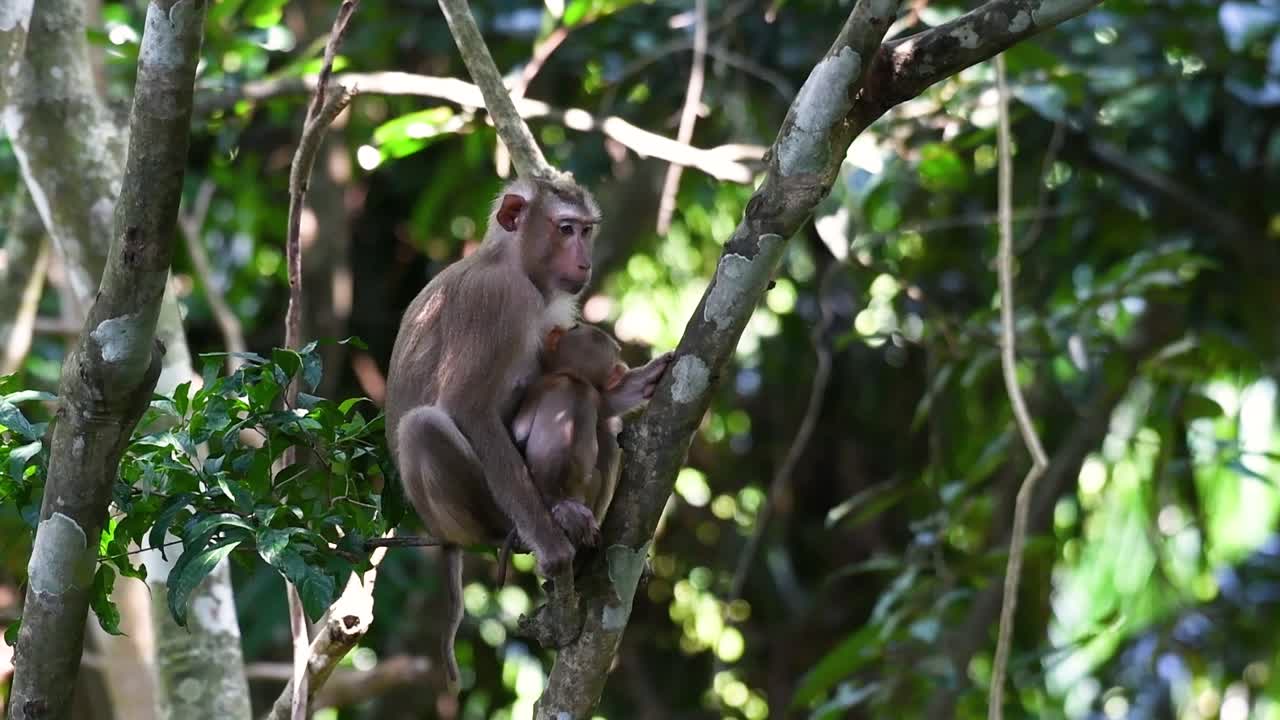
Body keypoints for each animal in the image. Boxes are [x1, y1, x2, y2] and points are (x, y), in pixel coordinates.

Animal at [383, 174, 673, 688]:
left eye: (586, 230)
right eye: (565, 228)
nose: (585, 260)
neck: (509, 261)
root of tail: (441, 534)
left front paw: (633, 385)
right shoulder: (499, 300)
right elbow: (468, 409)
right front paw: (553, 549)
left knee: (599, 417)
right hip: (475, 513)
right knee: (424, 426)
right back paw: (537, 526)